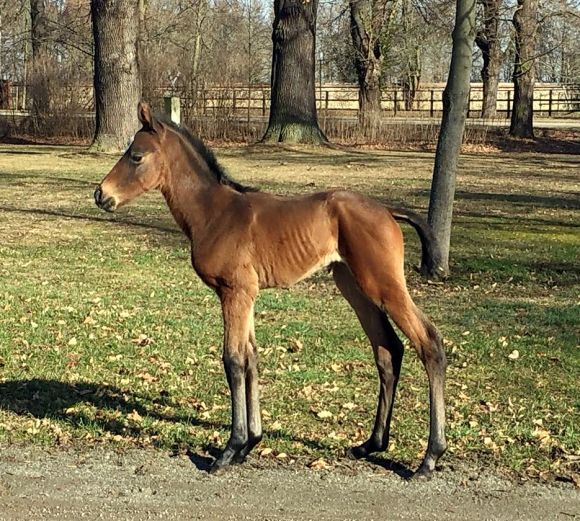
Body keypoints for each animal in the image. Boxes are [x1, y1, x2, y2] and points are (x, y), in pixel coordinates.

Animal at [96, 100, 448, 476]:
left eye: (136, 156)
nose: (101, 194)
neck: (215, 212)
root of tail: (387, 210)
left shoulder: (234, 291)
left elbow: (234, 360)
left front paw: (229, 449)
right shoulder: (246, 294)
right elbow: (251, 357)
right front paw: (250, 443)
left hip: (383, 284)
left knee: (429, 342)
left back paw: (430, 456)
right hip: (353, 287)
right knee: (387, 350)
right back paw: (371, 445)